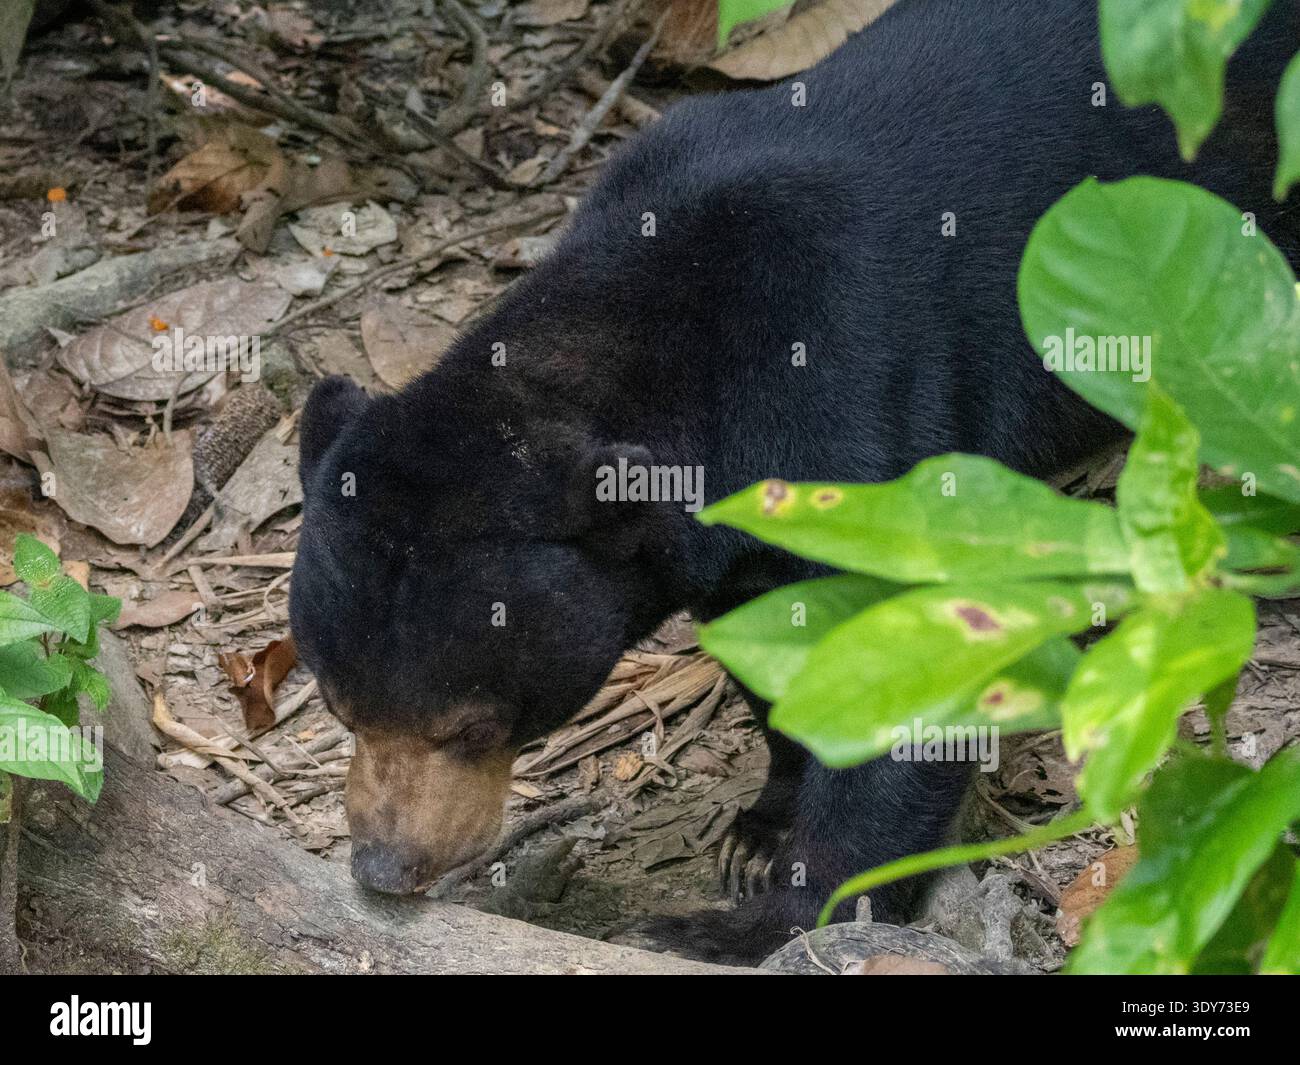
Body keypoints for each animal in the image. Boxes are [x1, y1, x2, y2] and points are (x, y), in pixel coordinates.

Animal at [290, 0, 1299, 965]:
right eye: (339, 708)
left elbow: (906, 659)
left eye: (472, 724)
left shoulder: (850, 396)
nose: (386, 865)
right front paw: (758, 827)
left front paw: (748, 922)